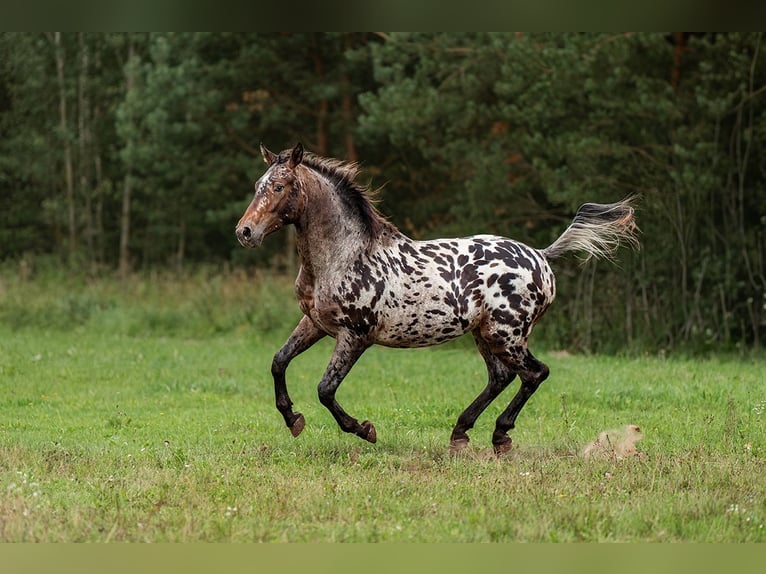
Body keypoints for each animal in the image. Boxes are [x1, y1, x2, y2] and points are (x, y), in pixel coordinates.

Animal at [236, 145, 640, 460]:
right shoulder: (315, 324)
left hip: (506, 334)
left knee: (534, 373)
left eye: (279, 186)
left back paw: (499, 436)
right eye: (257, 186)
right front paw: (293, 420)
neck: (344, 256)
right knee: (502, 377)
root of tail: (541, 256)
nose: (245, 232)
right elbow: (278, 362)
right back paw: (460, 434)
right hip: (484, 334)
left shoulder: (355, 335)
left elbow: (325, 390)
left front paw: (364, 429)